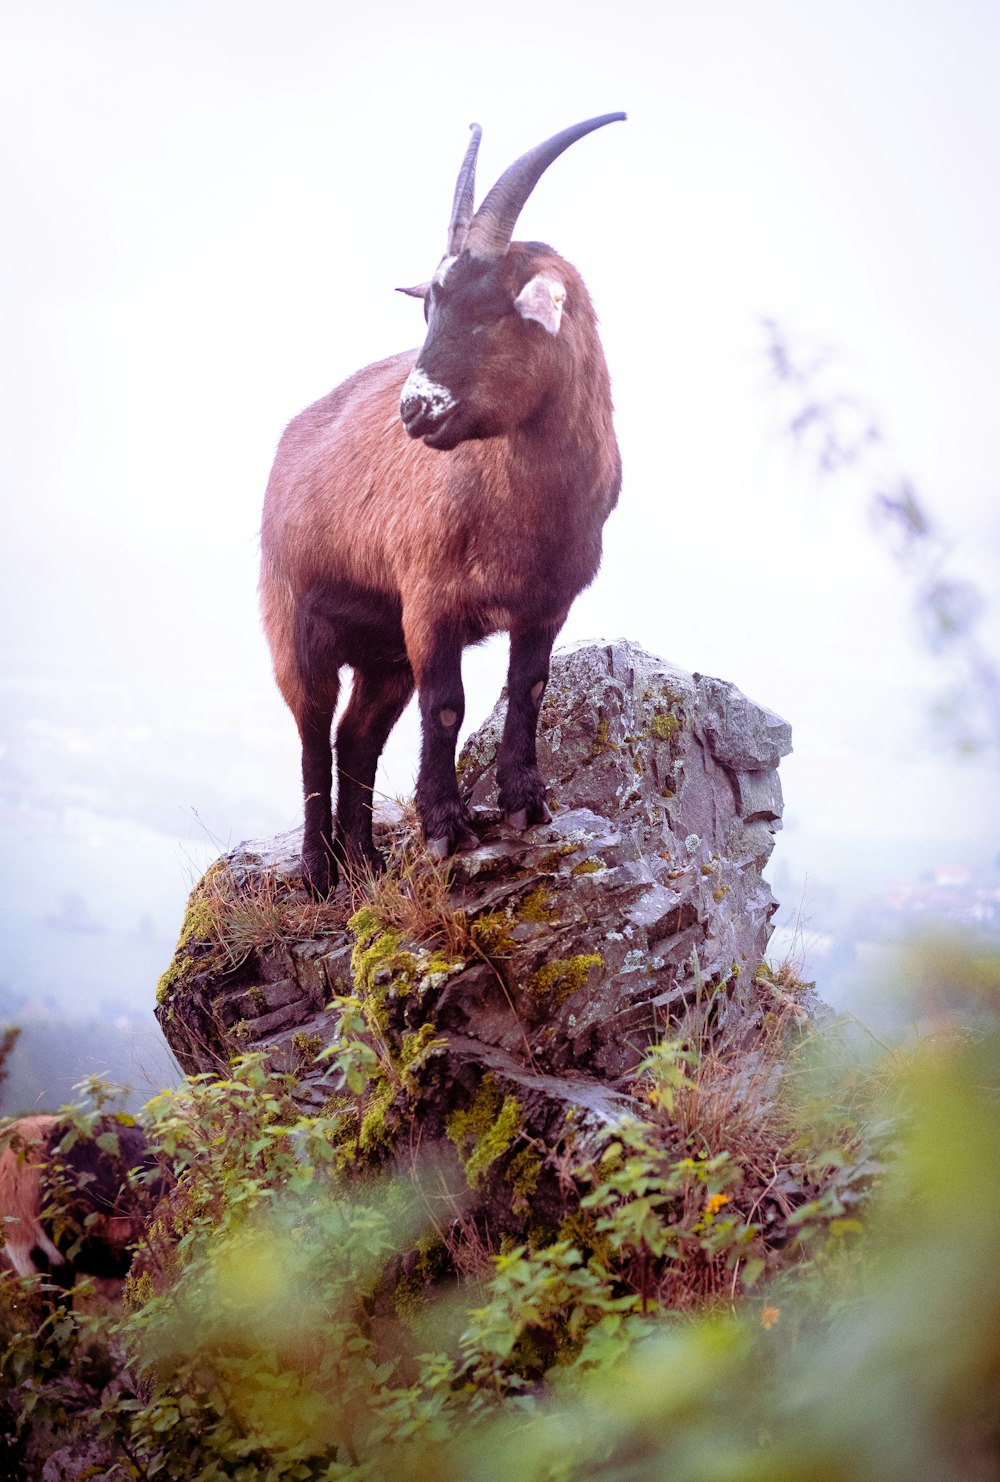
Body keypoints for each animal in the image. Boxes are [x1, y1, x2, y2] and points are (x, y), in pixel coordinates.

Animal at [262, 112, 631, 889]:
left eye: (492, 307)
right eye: (429, 307)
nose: (415, 410)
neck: (526, 509)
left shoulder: (546, 605)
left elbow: (528, 688)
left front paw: (525, 803)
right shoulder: (430, 605)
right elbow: (447, 709)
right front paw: (445, 829)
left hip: (382, 653)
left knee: (356, 737)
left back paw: (364, 860)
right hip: (297, 626)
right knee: (312, 732)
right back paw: (319, 870)